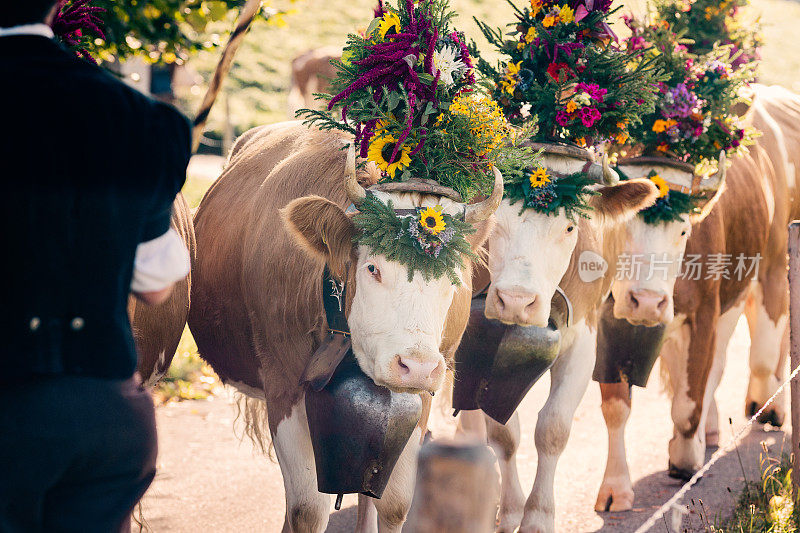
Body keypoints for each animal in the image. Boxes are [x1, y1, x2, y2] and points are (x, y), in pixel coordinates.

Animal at [185, 121, 504, 532]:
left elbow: (394, 504)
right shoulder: (283, 385)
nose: (416, 366)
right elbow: (307, 509)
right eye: (373, 268)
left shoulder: (422, 394)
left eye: (455, 276)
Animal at [454, 142, 660, 532]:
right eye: (496, 224)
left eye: (568, 227)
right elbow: (504, 434)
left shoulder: (582, 342)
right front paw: (511, 511)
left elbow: (553, 429)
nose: (516, 300)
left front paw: (537, 518)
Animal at [592, 84, 800, 512]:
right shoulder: (611, 319)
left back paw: (767, 407)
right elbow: (616, 406)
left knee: (757, 356)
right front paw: (615, 488)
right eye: (622, 226)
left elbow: (690, 403)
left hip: (768, 268)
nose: (647, 301)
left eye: (685, 231)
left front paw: (686, 460)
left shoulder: (708, 309)